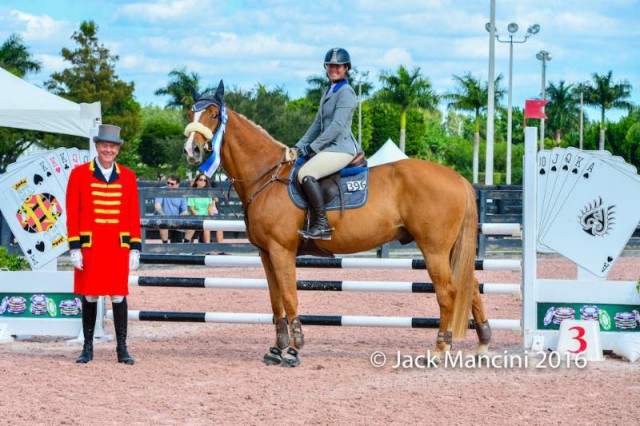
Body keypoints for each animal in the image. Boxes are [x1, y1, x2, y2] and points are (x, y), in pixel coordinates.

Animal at [182, 81, 492, 368]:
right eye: (190, 112)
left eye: (213, 114)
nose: (191, 150)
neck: (267, 177)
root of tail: (457, 178)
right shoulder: (266, 254)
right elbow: (275, 300)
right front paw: (277, 349)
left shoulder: (282, 250)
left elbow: (290, 297)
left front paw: (293, 350)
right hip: (448, 251)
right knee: (471, 286)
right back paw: (483, 346)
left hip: (434, 249)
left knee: (448, 292)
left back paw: (440, 350)